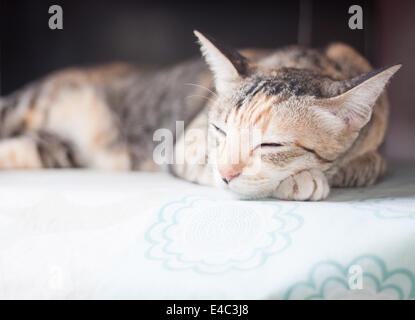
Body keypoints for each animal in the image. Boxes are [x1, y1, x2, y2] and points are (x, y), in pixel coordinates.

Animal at [0, 30, 404, 200]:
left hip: (54, 149)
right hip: (24, 106)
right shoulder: (183, 144)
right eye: (219, 130)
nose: (227, 173)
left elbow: (367, 165)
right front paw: (301, 182)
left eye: (271, 145)